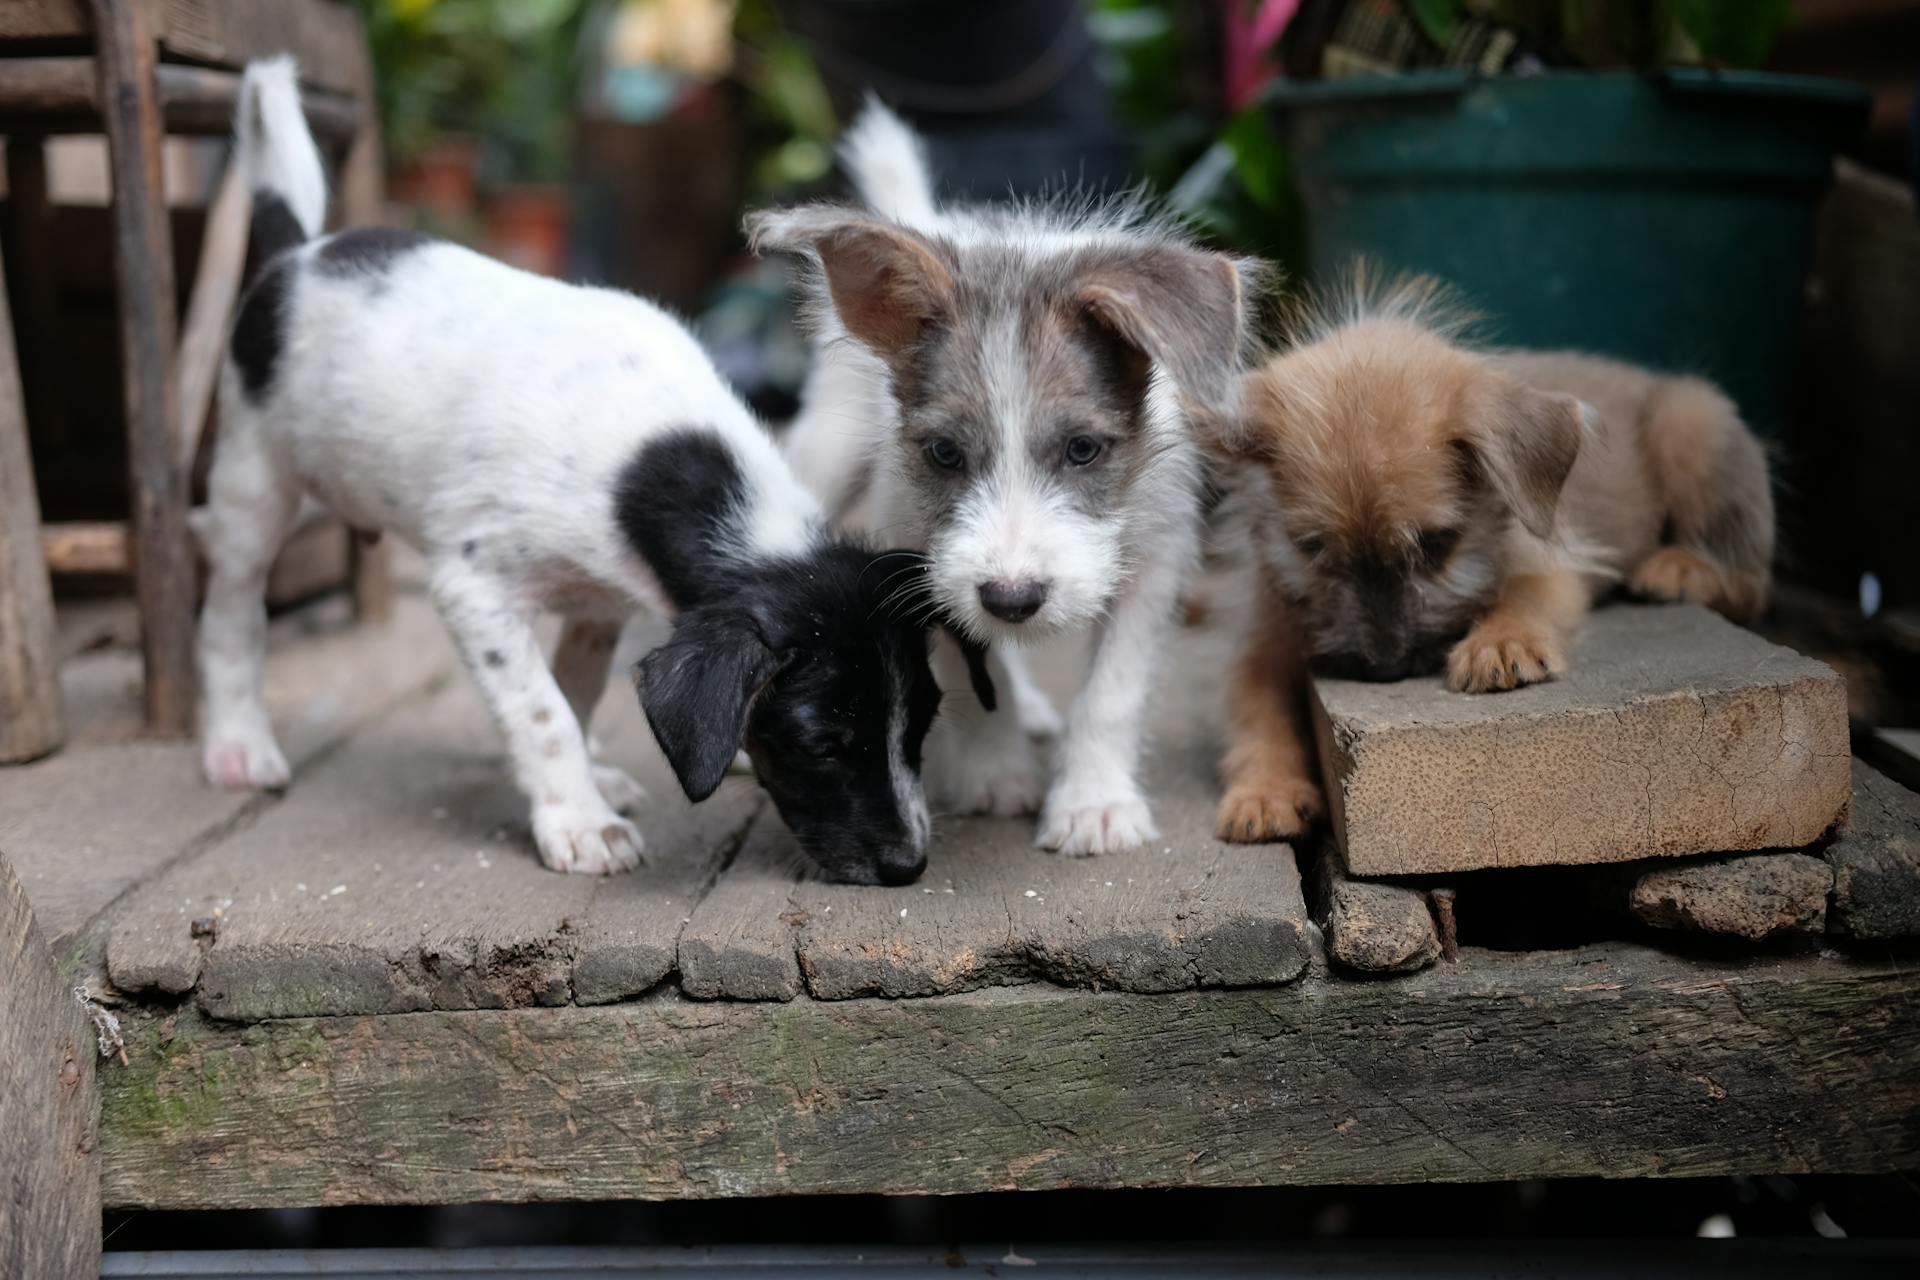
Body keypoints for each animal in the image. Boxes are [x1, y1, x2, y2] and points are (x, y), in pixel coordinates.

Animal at [198, 65, 940, 886]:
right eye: (822, 742)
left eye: (922, 724)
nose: (909, 865)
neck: (653, 461)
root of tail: (295, 256)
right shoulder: (474, 590)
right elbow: (542, 710)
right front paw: (580, 821)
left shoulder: (599, 608)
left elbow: (573, 697)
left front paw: (587, 782)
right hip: (251, 489)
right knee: (231, 615)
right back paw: (236, 742)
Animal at [1205, 278, 1774, 840]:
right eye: (1313, 549)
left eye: (1436, 543)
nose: (1385, 669)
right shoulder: (1265, 636)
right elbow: (1257, 709)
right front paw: (1265, 790)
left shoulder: (1552, 566)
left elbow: (1521, 594)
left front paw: (1500, 643)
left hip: (1693, 421)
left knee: (1750, 581)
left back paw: (1681, 569)